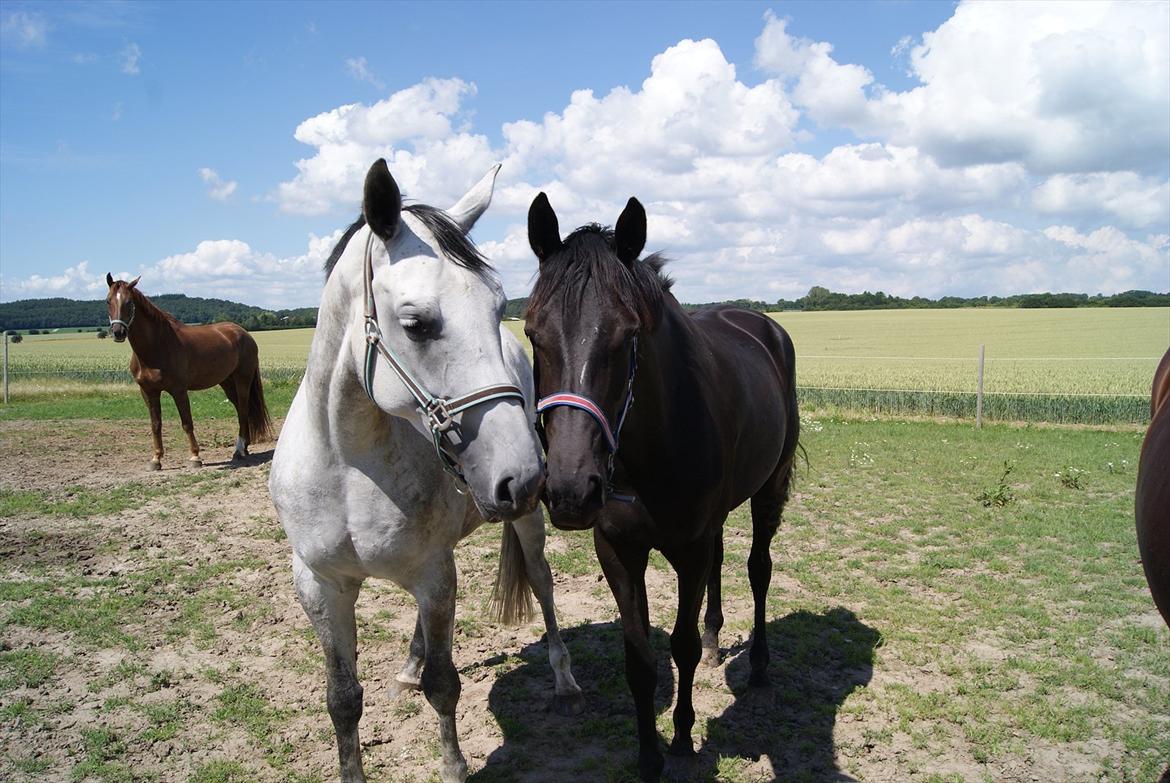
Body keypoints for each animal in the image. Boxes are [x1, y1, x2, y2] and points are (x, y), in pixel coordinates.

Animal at [102, 275, 271, 470]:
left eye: (129, 302)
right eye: (108, 301)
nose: (118, 332)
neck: (156, 347)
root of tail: (245, 334)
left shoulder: (179, 390)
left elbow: (187, 423)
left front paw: (195, 457)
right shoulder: (149, 392)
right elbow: (155, 424)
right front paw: (156, 459)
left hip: (242, 379)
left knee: (243, 411)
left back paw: (238, 451)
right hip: (227, 382)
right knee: (241, 410)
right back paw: (245, 447)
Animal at [269, 160, 580, 781]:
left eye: (497, 306)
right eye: (415, 323)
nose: (523, 477)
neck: (348, 466)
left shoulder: (434, 575)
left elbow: (445, 685)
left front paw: (454, 766)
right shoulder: (320, 586)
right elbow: (342, 699)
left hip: (523, 531)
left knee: (542, 584)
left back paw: (564, 681)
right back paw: (408, 665)